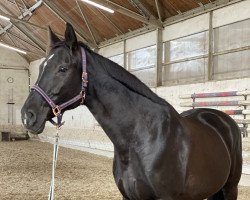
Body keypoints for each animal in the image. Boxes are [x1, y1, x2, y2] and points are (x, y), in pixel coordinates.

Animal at [22, 23, 242, 200]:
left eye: (62, 68)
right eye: (41, 67)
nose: (27, 115)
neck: (141, 138)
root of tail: (222, 119)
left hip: (230, 188)